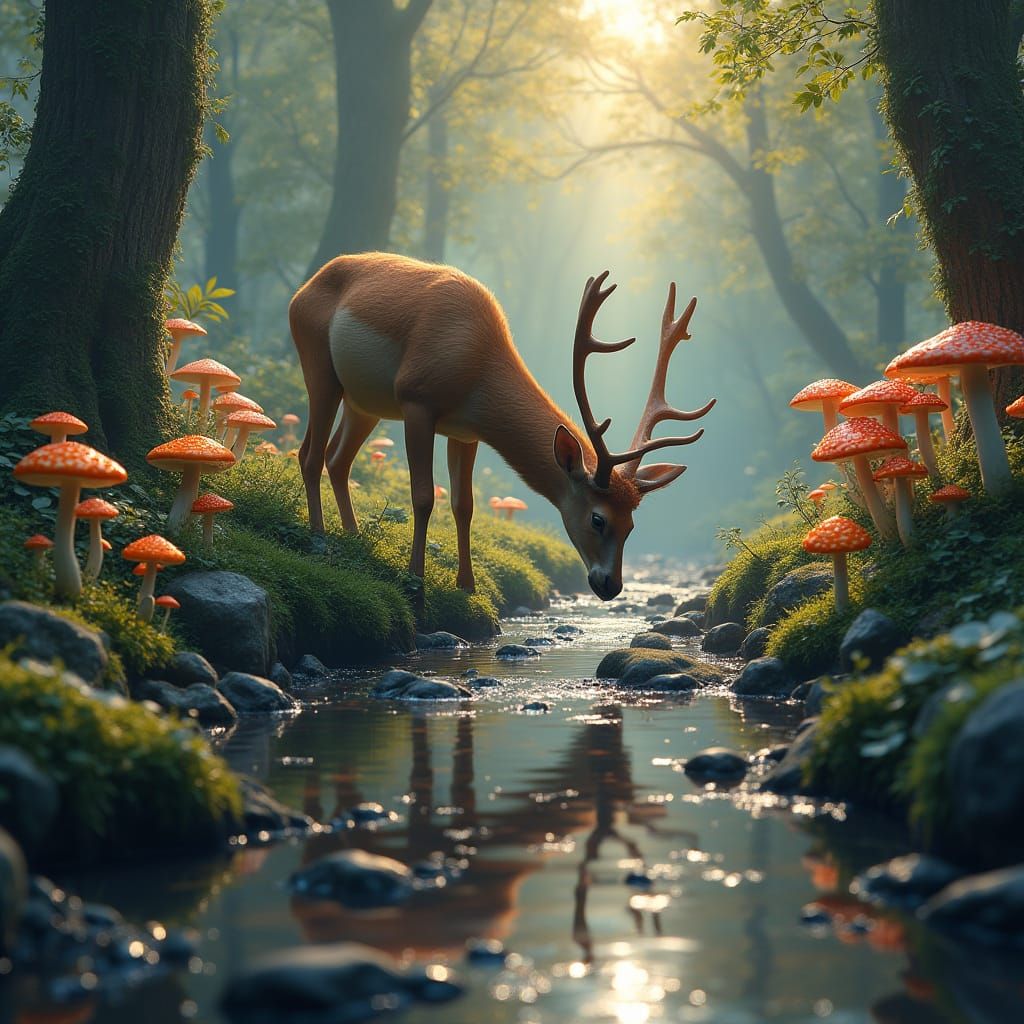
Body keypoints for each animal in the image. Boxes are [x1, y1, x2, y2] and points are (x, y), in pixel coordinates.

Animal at [288, 252, 714, 601]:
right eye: (598, 518)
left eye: (631, 525)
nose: (611, 585)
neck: (476, 370)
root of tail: (300, 292)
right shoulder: (417, 399)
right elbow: (424, 496)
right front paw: (416, 580)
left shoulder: (465, 431)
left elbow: (464, 505)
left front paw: (467, 586)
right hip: (318, 363)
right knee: (309, 453)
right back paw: (319, 537)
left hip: (364, 403)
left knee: (337, 458)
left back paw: (354, 536)